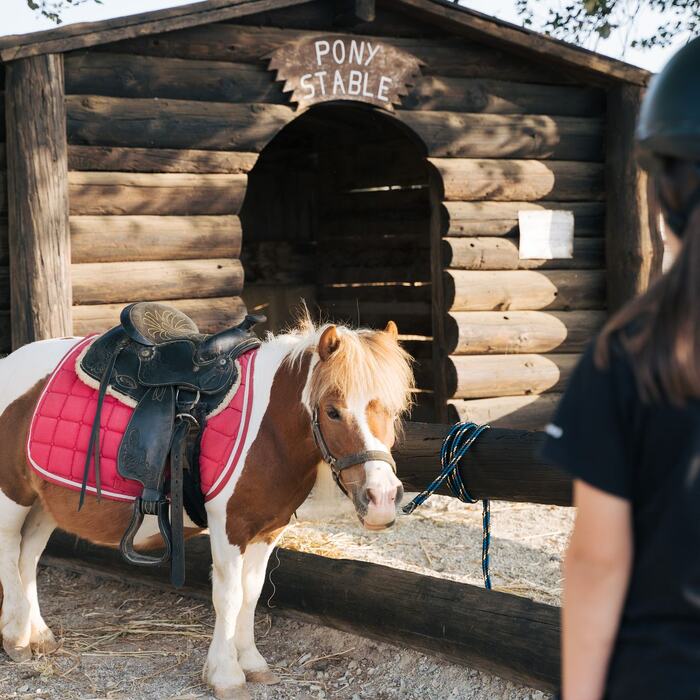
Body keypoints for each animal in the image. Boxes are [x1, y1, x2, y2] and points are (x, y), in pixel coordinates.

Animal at [0, 315, 414, 700]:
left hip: (43, 504)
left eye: (395, 409)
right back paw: (16, 638)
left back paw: (36, 634)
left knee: (27, 558)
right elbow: (228, 597)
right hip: (11, 497)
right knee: (9, 553)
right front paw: (226, 675)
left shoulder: (268, 530)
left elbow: (252, 593)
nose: (381, 499)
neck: (268, 429)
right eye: (332, 411)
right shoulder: (228, 526)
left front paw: (252, 663)